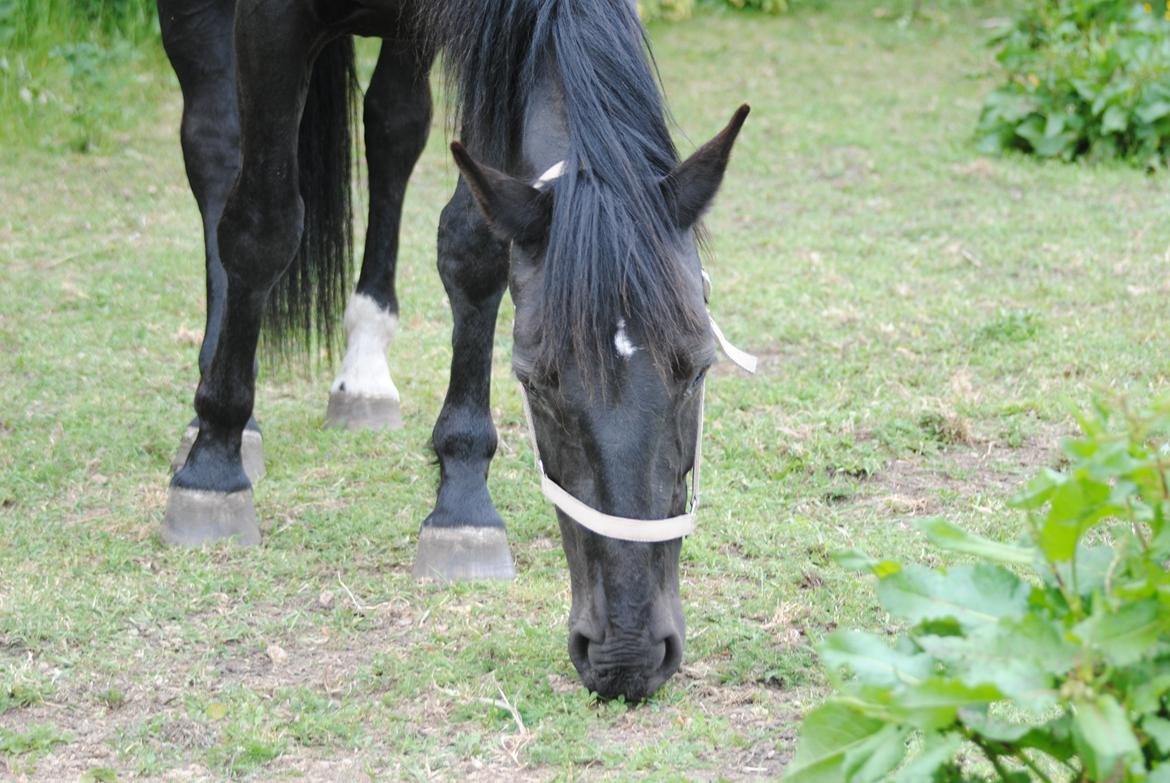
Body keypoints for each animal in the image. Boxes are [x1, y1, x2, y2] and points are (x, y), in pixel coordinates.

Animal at [155, 0, 744, 697]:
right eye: (534, 381)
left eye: (697, 370)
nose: (628, 654)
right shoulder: (269, 25)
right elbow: (261, 224)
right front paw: (212, 467)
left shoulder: (491, 44)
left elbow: (474, 244)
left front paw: (462, 494)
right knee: (216, 147)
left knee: (392, 130)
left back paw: (364, 375)